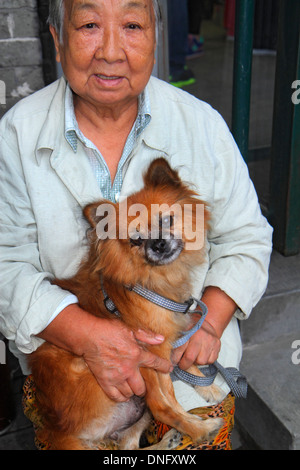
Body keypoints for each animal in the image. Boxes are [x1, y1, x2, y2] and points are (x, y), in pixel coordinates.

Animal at [28, 159, 224, 452]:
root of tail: (59, 430)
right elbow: (169, 400)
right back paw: (199, 429)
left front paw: (207, 386)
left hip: (136, 412)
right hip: (117, 371)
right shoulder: (156, 353)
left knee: (129, 445)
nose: (158, 243)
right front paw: (195, 421)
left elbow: (185, 364)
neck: (153, 282)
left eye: (166, 220)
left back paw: (169, 440)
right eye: (135, 240)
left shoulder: (171, 340)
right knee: (159, 405)